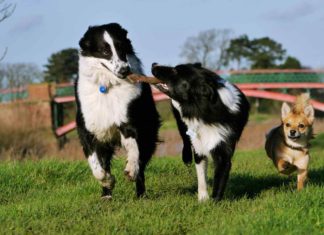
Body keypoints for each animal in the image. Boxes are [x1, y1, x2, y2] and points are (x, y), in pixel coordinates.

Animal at [76, 23, 162, 198]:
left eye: (121, 47)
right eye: (105, 51)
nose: (125, 70)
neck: (107, 86)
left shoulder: (129, 121)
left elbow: (134, 149)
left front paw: (130, 170)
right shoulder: (87, 129)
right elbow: (96, 165)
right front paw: (107, 181)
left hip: (149, 131)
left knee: (142, 162)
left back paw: (140, 194)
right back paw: (106, 195)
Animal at [151, 63, 249, 202]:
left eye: (175, 71)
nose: (154, 64)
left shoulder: (224, 148)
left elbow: (219, 178)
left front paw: (214, 202)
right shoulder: (198, 144)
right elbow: (201, 175)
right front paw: (203, 199)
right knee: (185, 140)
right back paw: (186, 158)